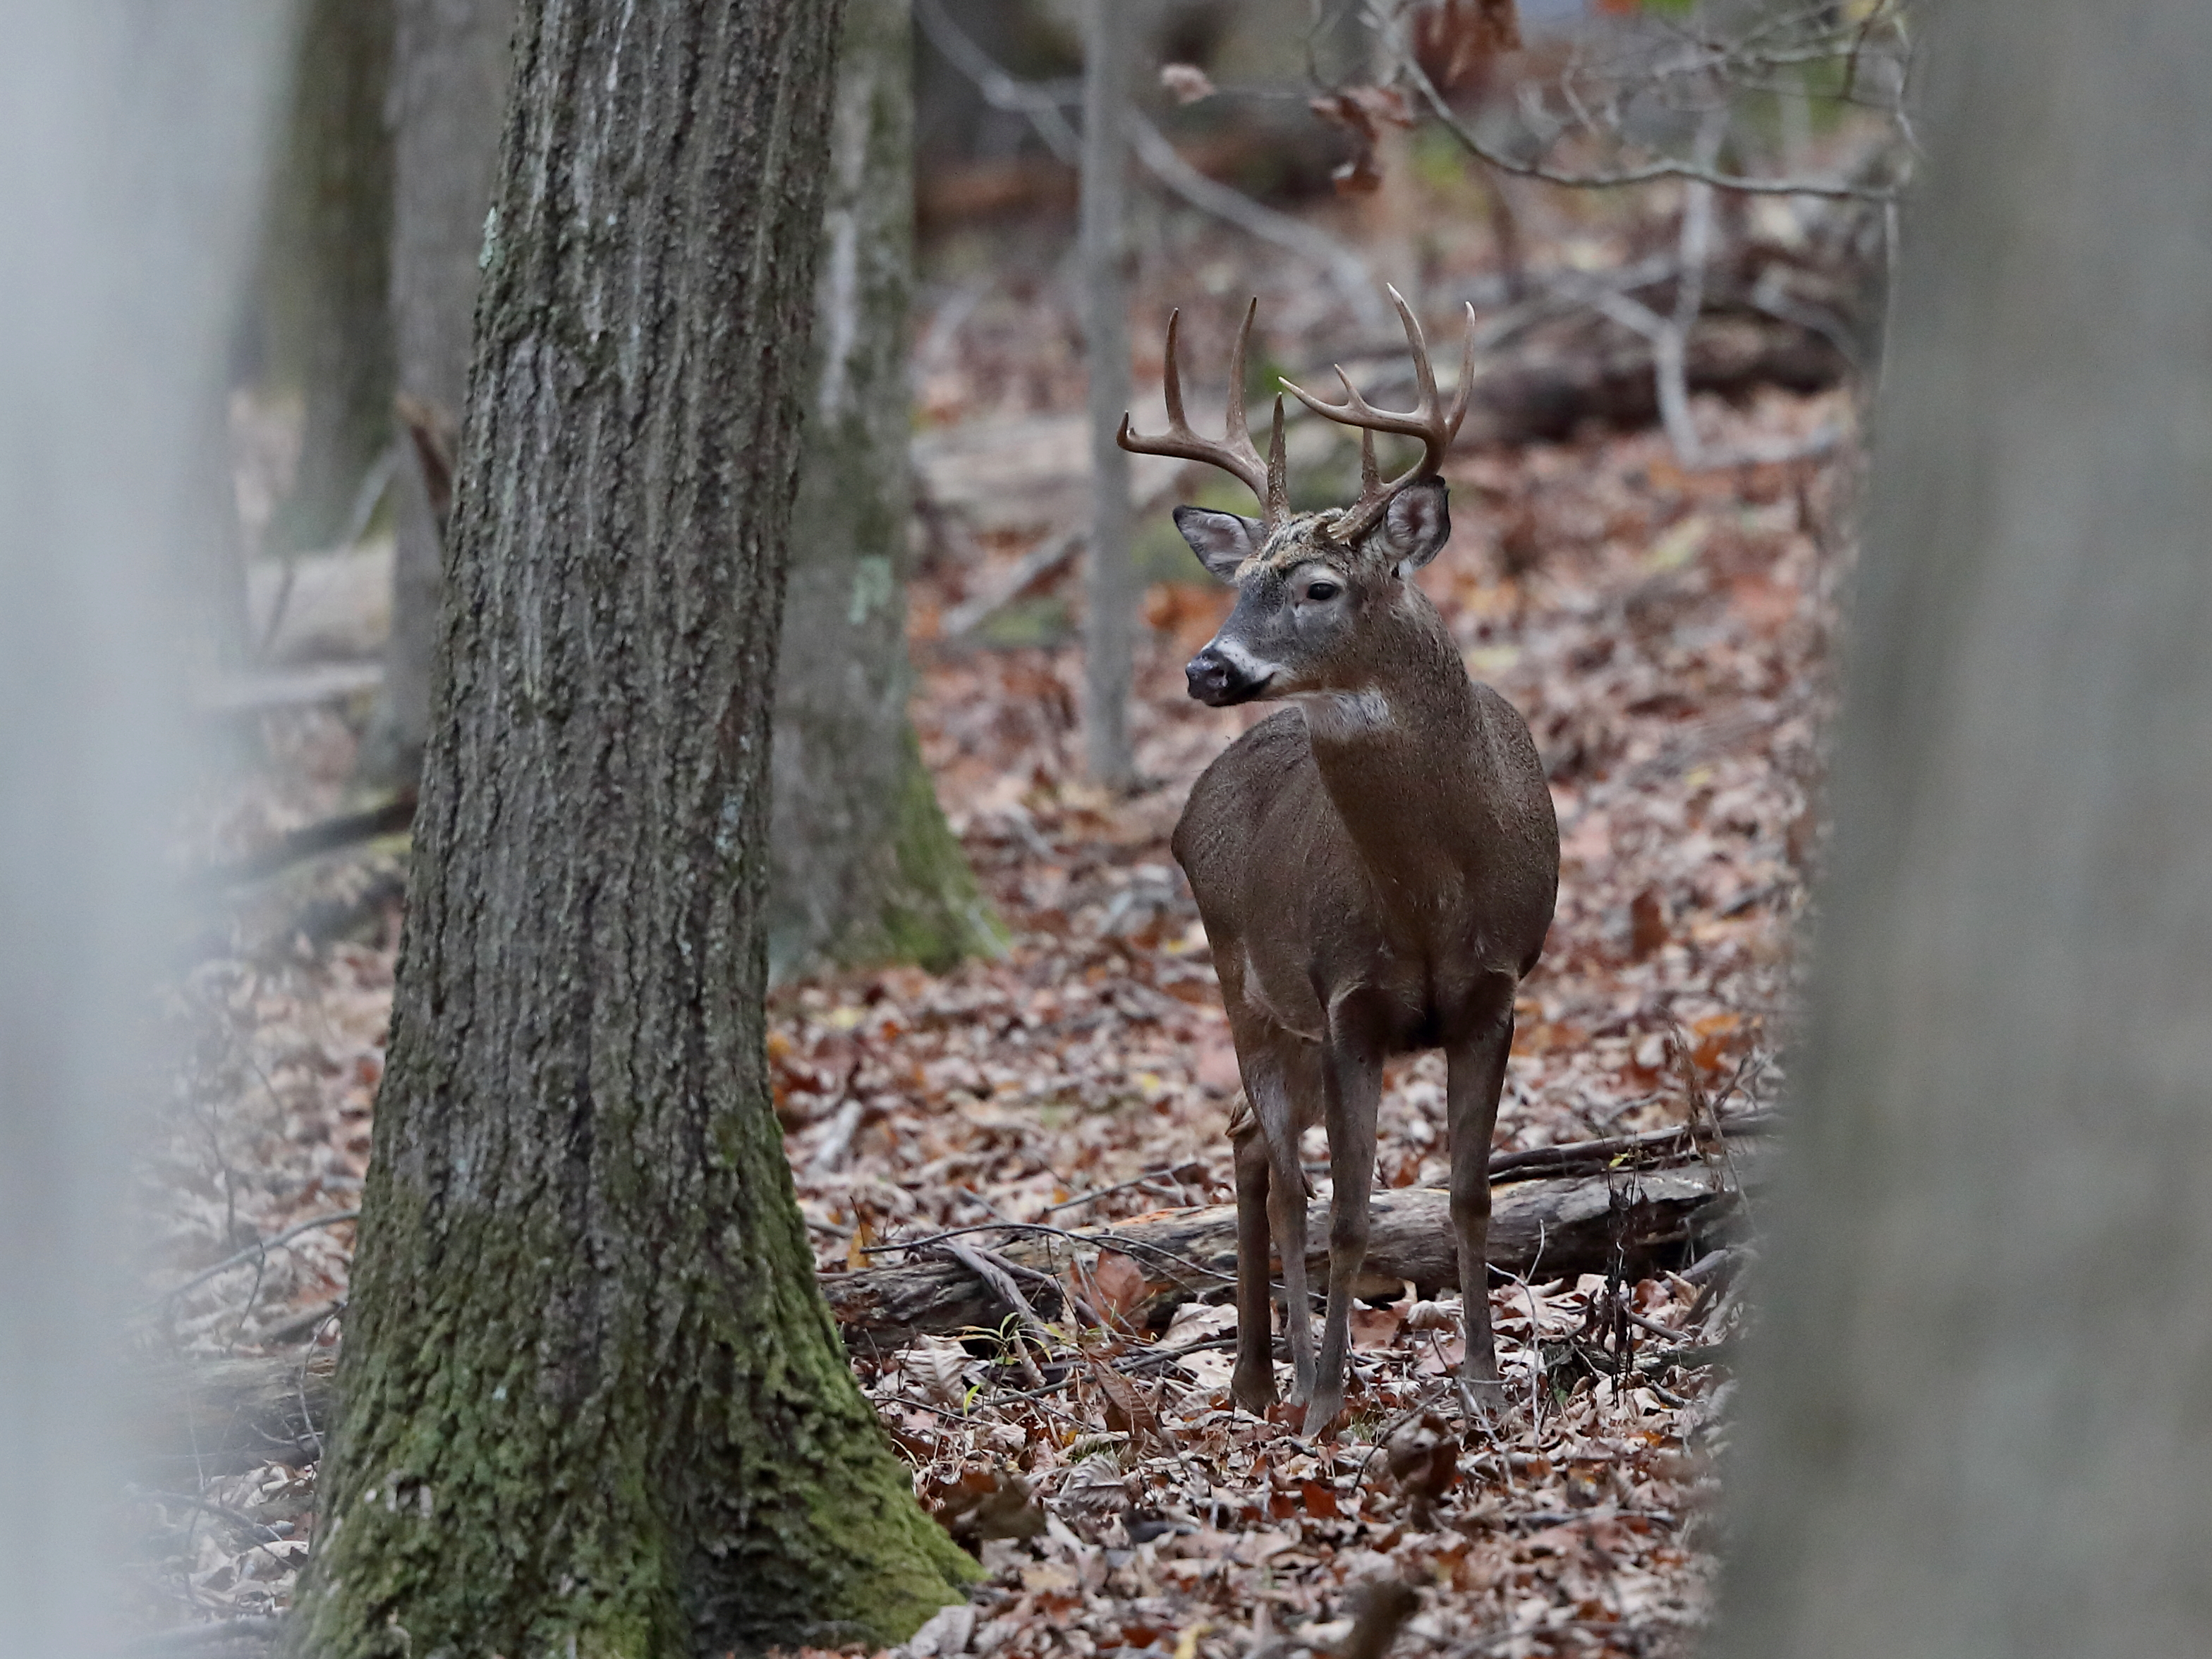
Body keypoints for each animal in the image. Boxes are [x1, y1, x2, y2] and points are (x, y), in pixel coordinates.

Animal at [1124, 291, 1557, 1433]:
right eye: (1240, 583)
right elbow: (1354, 1209)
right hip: (1249, 986)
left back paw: (1265, 1369)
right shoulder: (1349, 996)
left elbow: (1468, 1191)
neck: (1434, 892)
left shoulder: (1495, 988)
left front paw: (1485, 1386)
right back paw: (1273, 1377)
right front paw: (1326, 1402)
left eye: (1318, 586)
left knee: (1247, 1140)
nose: (1208, 667)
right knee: (1280, 1167)